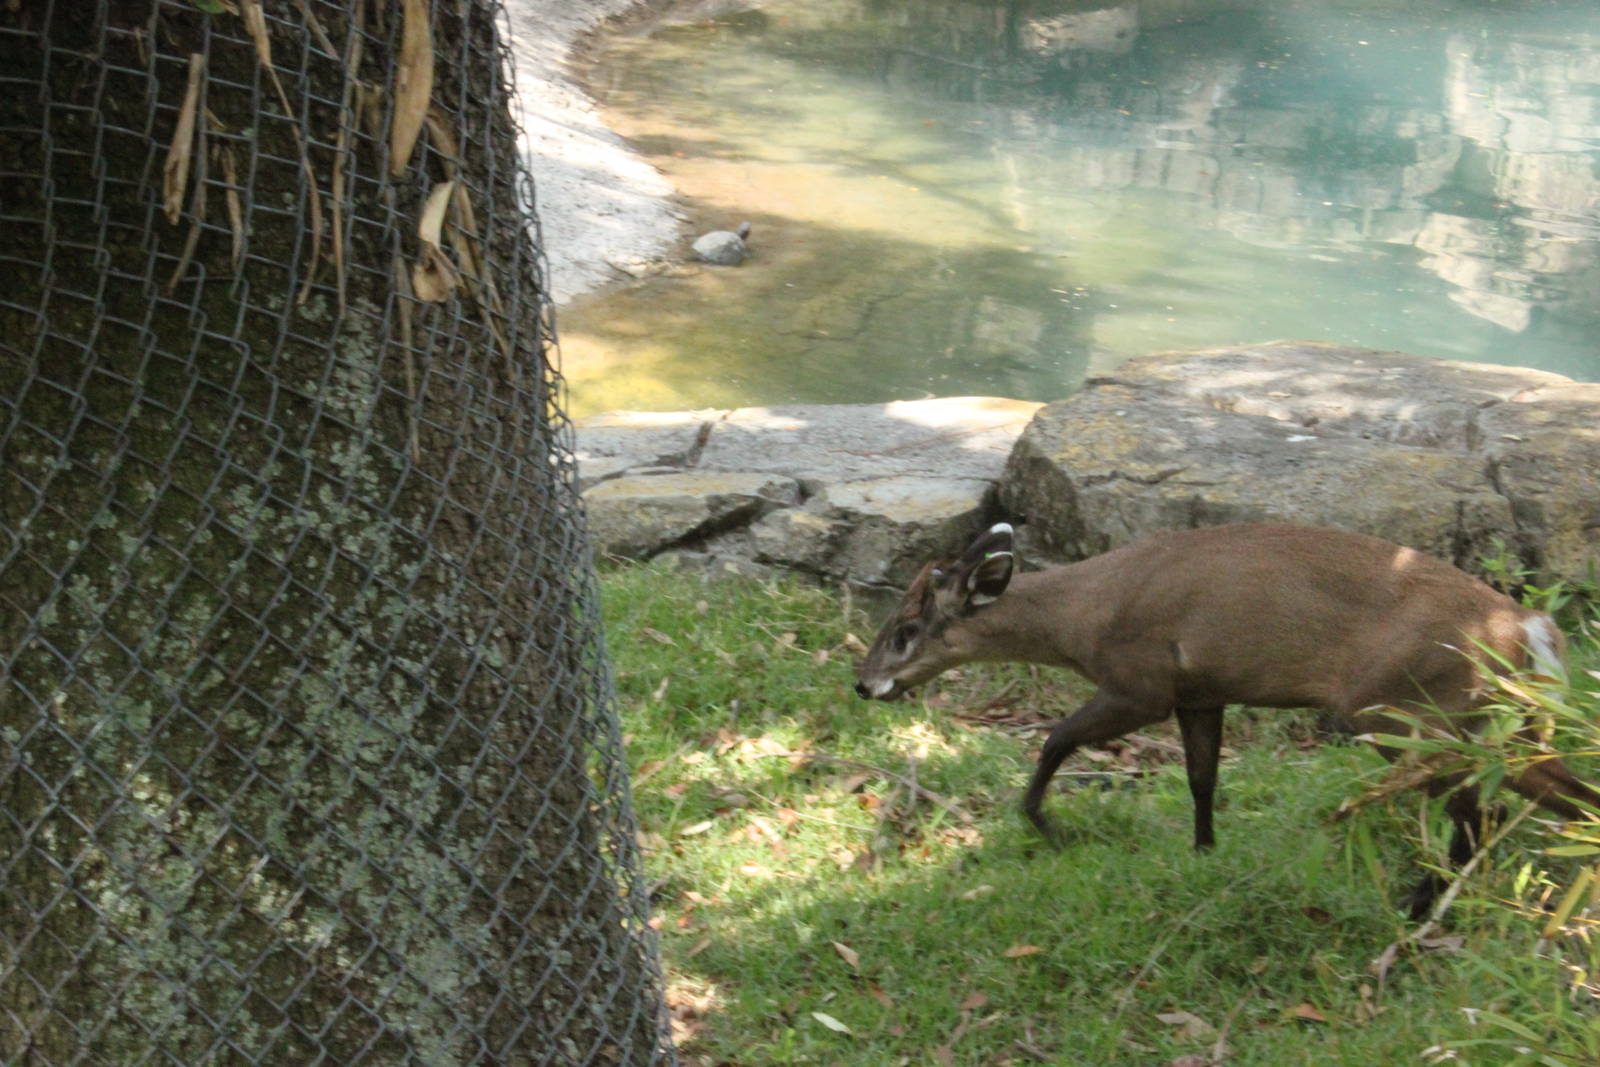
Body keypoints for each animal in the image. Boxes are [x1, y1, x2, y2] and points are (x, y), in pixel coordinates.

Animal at [854, 521, 1597, 918]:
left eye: (907, 629)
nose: (864, 682)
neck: (1084, 617)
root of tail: (1532, 630)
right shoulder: (1199, 694)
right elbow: (1202, 779)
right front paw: (1203, 853)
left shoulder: (1142, 683)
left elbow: (1054, 739)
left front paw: (1049, 827)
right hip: (1500, 726)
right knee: (1563, 799)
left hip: (1407, 713)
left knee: (1481, 814)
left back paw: (1418, 908)